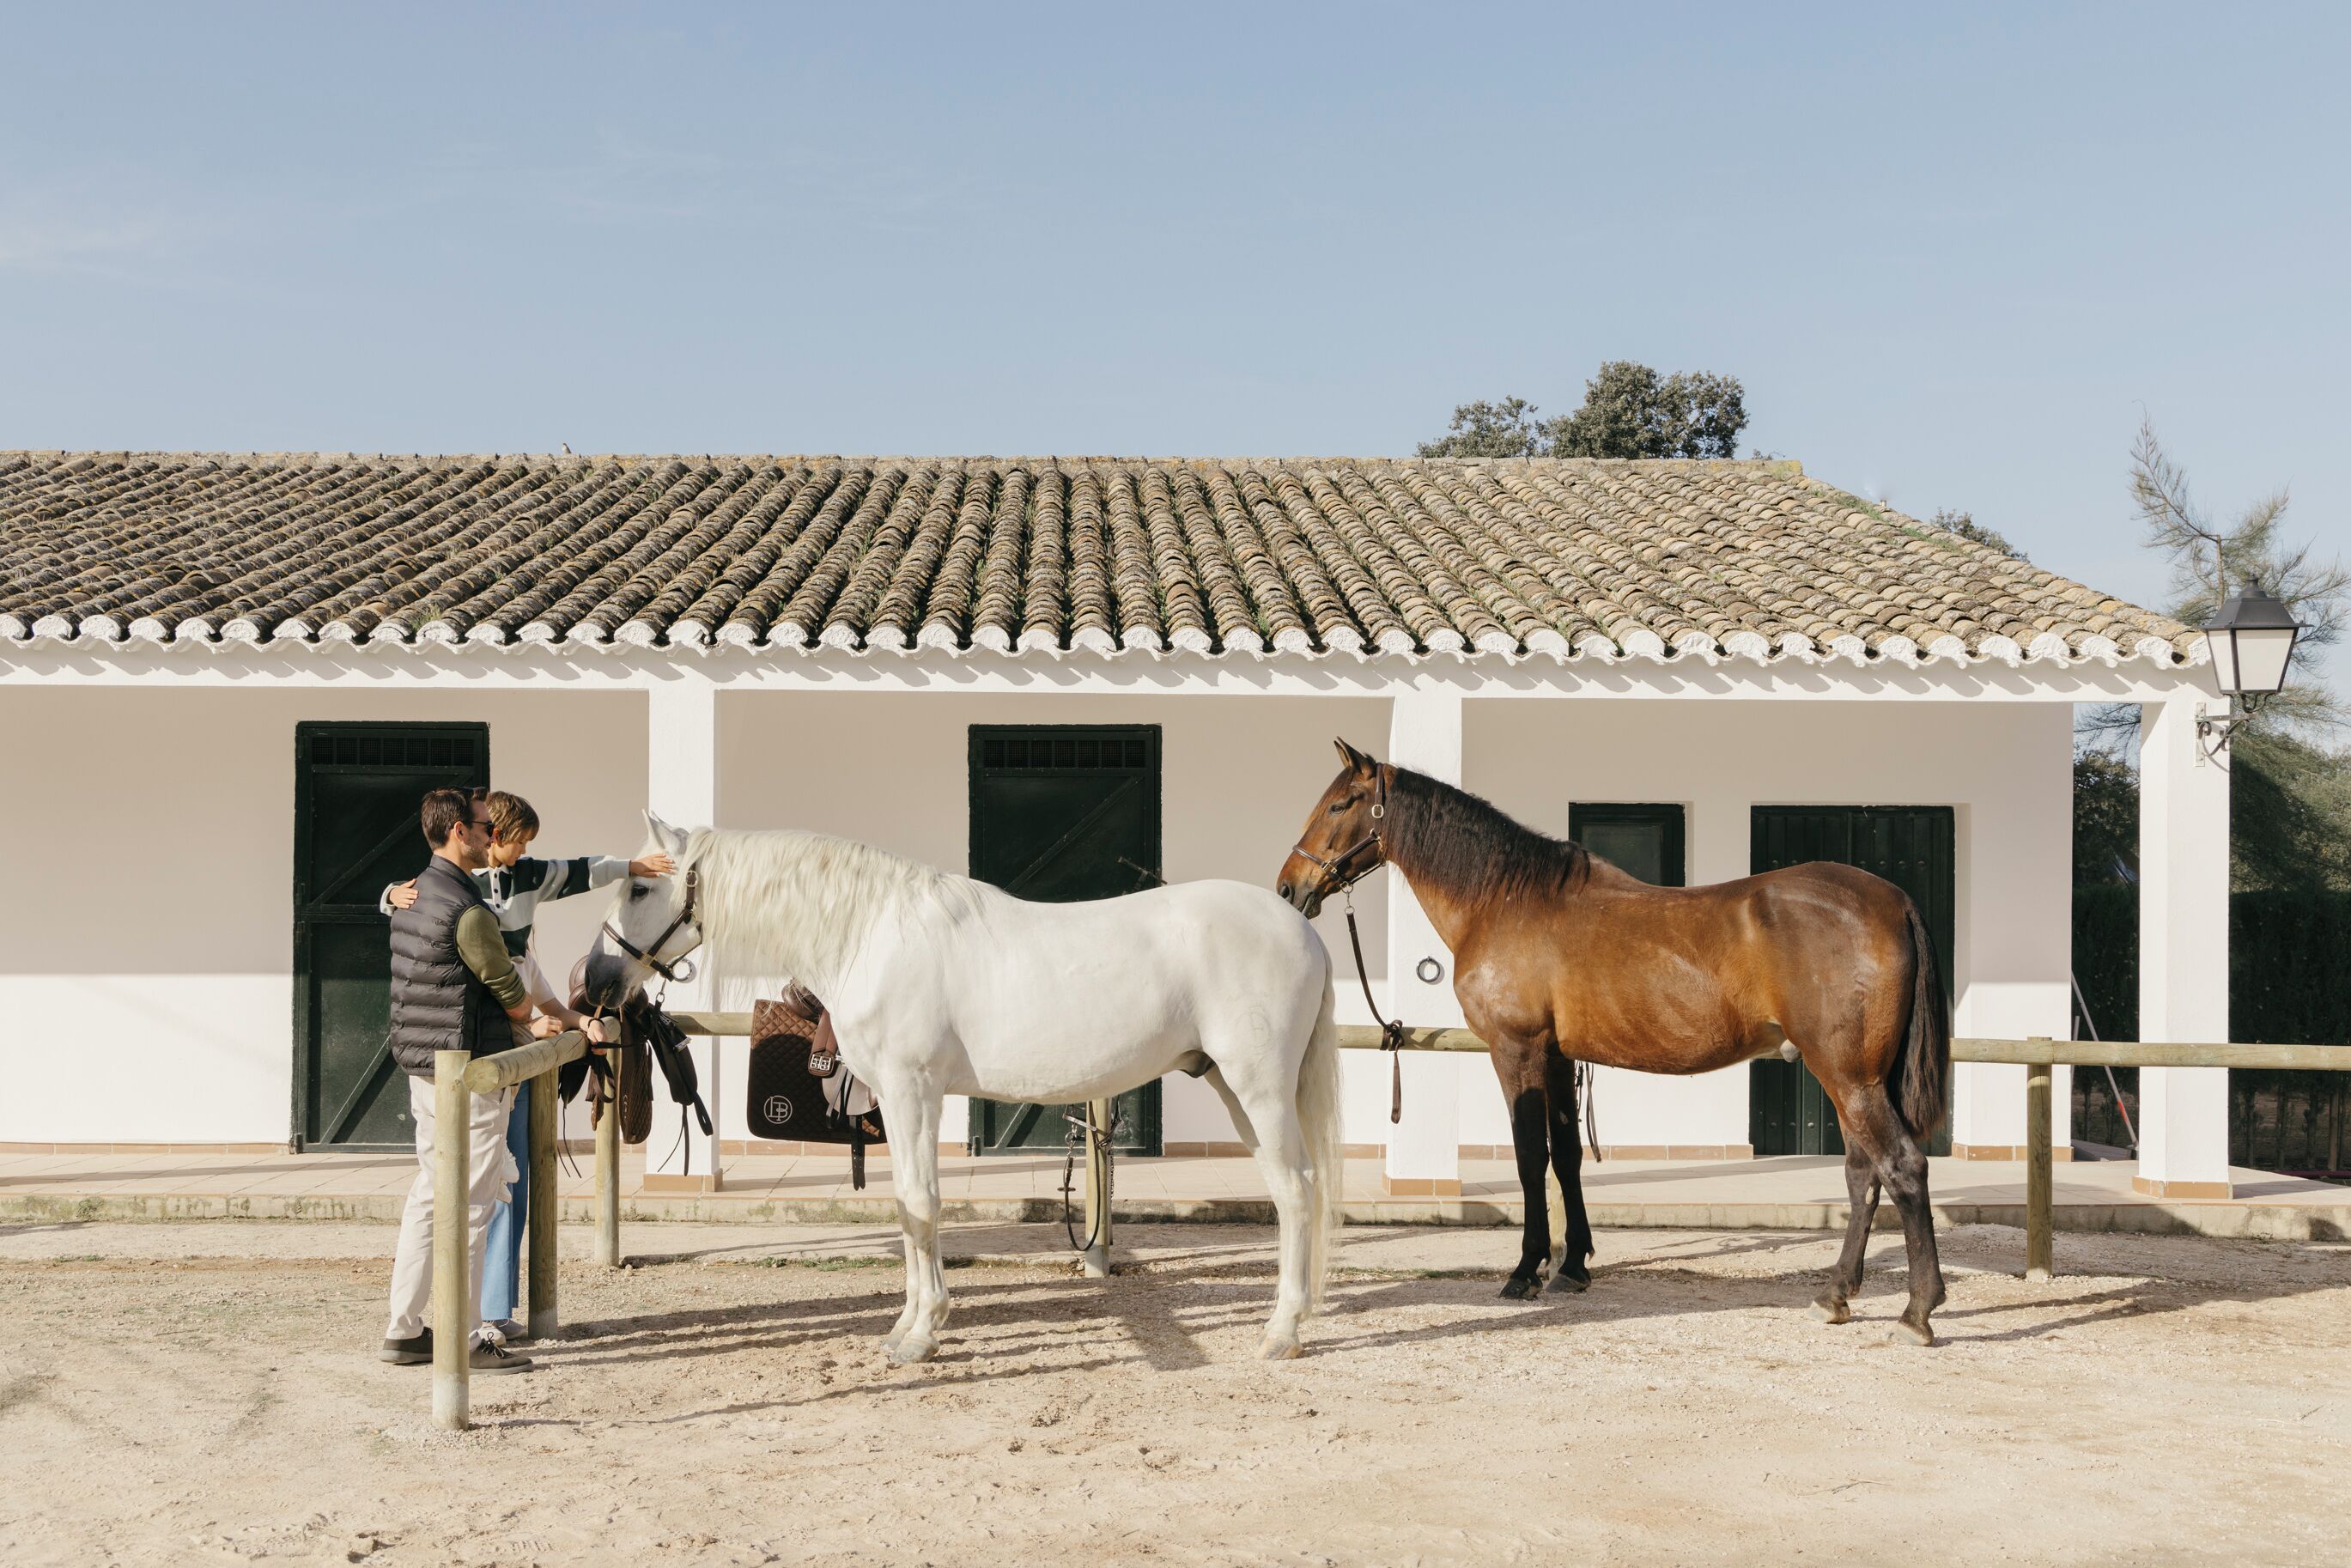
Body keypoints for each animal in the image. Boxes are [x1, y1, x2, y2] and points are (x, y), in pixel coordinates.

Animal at [584, 813, 1346, 1364]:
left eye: (641, 888)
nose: (593, 980)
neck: (871, 934)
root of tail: (1303, 929)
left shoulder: (912, 1090)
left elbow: (923, 1204)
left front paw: (923, 1334)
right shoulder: (899, 1102)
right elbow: (906, 1207)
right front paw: (907, 1326)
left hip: (1258, 1087)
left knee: (1297, 1189)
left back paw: (1283, 1331)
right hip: (1231, 1087)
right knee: (1291, 1190)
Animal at [1275, 740, 1951, 1346]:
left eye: (1340, 805)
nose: (1288, 888)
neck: (1505, 901)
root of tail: (1894, 900)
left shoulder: (1517, 1051)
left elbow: (1531, 1158)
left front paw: (1525, 1272)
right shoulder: (1558, 1057)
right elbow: (1568, 1157)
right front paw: (1573, 1266)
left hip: (1849, 1077)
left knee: (1902, 1167)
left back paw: (1917, 1313)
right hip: (1852, 1079)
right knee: (1863, 1175)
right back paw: (1835, 1295)